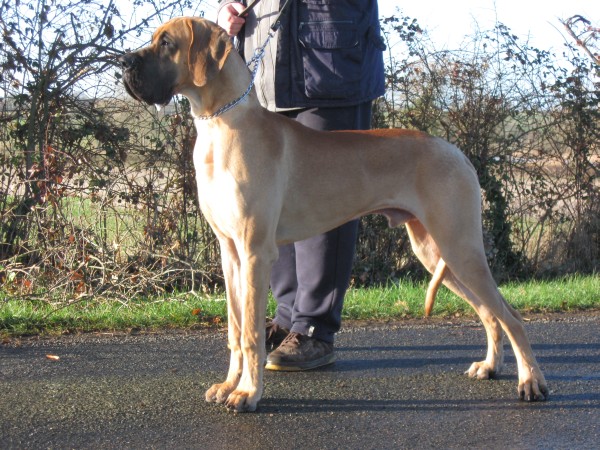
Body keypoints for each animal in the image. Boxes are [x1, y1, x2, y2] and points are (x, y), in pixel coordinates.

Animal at [119, 17, 548, 412]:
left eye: (167, 43)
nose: (122, 63)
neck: (222, 121)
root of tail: (457, 152)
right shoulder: (231, 253)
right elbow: (235, 329)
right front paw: (229, 385)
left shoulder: (255, 251)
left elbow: (252, 335)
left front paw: (247, 393)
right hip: (434, 251)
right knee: (489, 312)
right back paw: (490, 366)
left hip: (459, 247)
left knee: (511, 315)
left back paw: (530, 381)